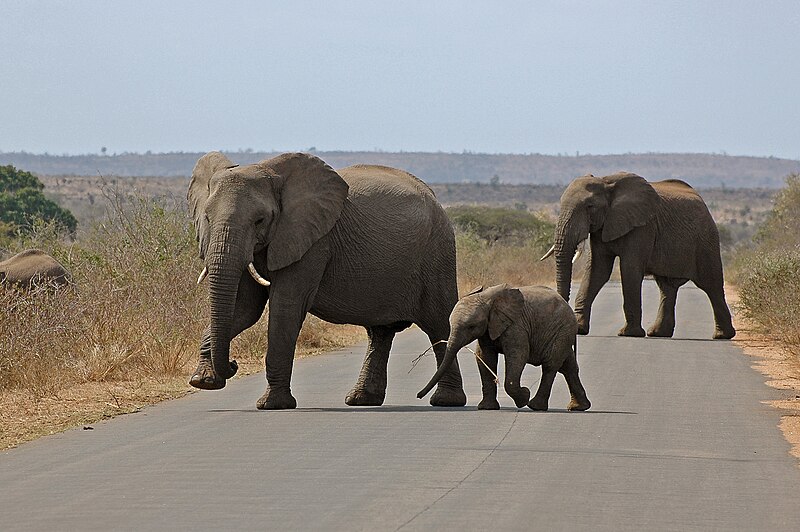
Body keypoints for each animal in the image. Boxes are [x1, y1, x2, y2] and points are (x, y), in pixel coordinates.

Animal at [187, 152, 466, 410]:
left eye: (260, 220)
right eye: (207, 218)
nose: (233, 364)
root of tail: (434, 198)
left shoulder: (314, 241)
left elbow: (285, 307)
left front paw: (272, 404)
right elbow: (245, 309)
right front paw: (203, 381)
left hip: (437, 254)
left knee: (439, 325)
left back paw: (446, 401)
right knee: (380, 332)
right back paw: (362, 399)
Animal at [416, 282, 592, 412]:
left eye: (471, 326)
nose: (418, 396)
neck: (487, 298)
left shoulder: (516, 326)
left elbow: (518, 355)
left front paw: (524, 397)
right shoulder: (488, 329)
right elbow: (484, 357)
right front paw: (486, 408)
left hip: (561, 331)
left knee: (550, 366)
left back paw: (535, 406)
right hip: (563, 334)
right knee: (568, 367)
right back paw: (579, 407)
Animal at [540, 175, 736, 340]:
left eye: (590, 207)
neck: (606, 181)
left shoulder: (642, 227)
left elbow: (629, 269)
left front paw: (628, 334)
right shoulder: (602, 227)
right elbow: (598, 270)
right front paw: (579, 329)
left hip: (706, 240)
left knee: (711, 285)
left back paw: (722, 336)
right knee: (667, 287)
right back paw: (658, 334)